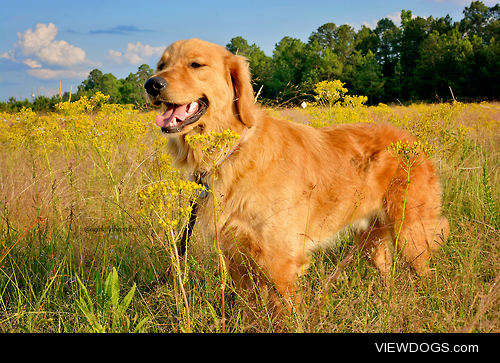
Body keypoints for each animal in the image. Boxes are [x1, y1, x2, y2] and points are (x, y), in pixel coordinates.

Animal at [144, 37, 450, 318]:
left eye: (196, 65)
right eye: (162, 65)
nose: (151, 84)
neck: (234, 151)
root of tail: (415, 142)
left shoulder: (281, 261)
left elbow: (285, 315)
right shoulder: (237, 258)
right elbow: (251, 311)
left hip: (410, 235)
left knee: (426, 275)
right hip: (371, 240)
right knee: (385, 268)